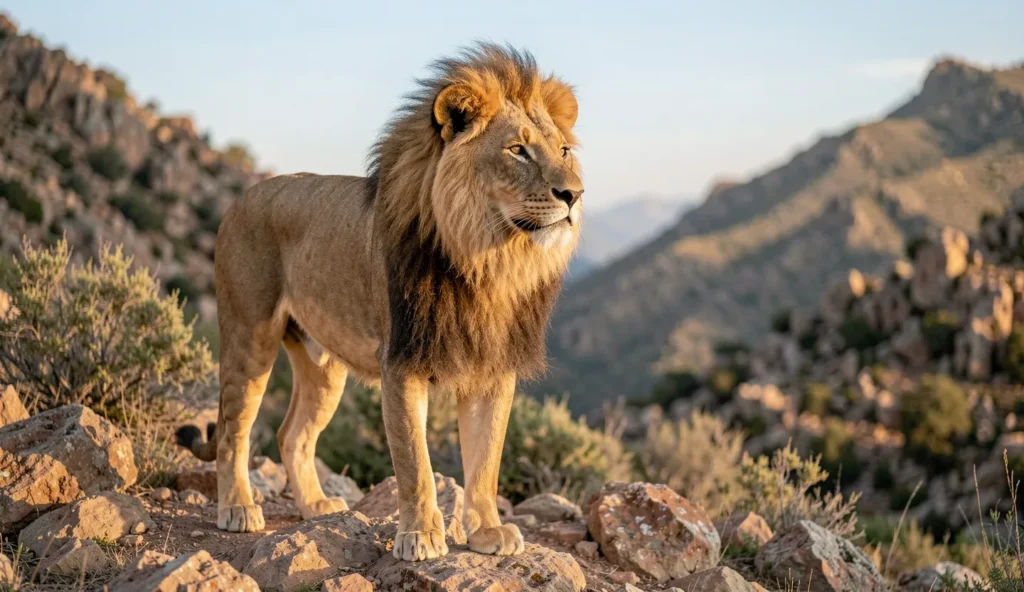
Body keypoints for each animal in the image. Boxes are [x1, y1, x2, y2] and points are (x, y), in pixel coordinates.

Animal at [175, 43, 583, 561]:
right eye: (518, 150)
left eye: (564, 150)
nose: (574, 194)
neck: (487, 261)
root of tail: (243, 196)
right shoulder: (403, 364)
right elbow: (415, 464)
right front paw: (421, 537)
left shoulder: (492, 368)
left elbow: (485, 461)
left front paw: (488, 533)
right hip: (250, 337)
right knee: (232, 431)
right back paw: (238, 509)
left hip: (324, 367)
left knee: (292, 435)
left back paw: (315, 505)